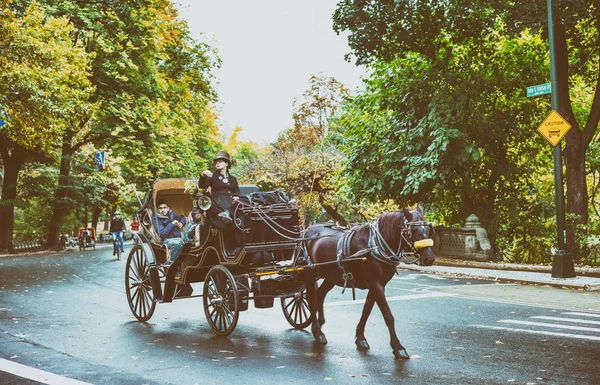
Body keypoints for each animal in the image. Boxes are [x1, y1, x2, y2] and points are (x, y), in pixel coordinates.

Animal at [302, 206, 434, 358]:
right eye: (413, 231)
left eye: (428, 229)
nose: (429, 259)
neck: (374, 245)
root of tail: (307, 229)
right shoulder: (376, 284)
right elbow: (388, 316)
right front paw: (398, 347)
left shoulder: (377, 285)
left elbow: (366, 310)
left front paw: (360, 338)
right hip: (309, 273)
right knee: (311, 297)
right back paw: (317, 331)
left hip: (331, 276)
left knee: (319, 294)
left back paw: (319, 323)